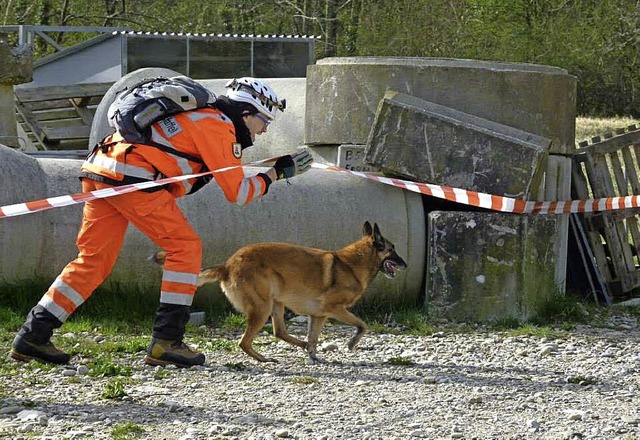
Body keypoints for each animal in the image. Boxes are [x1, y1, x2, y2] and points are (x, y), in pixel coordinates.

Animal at [152, 222, 408, 362]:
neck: (353, 264)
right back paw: (262, 358)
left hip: (277, 303)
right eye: (393, 250)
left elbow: (314, 337)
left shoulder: (319, 316)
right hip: (263, 307)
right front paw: (352, 343)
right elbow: (363, 325)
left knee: (279, 332)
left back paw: (299, 346)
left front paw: (313, 354)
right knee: (245, 342)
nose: (406, 264)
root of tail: (229, 264)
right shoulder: (335, 309)